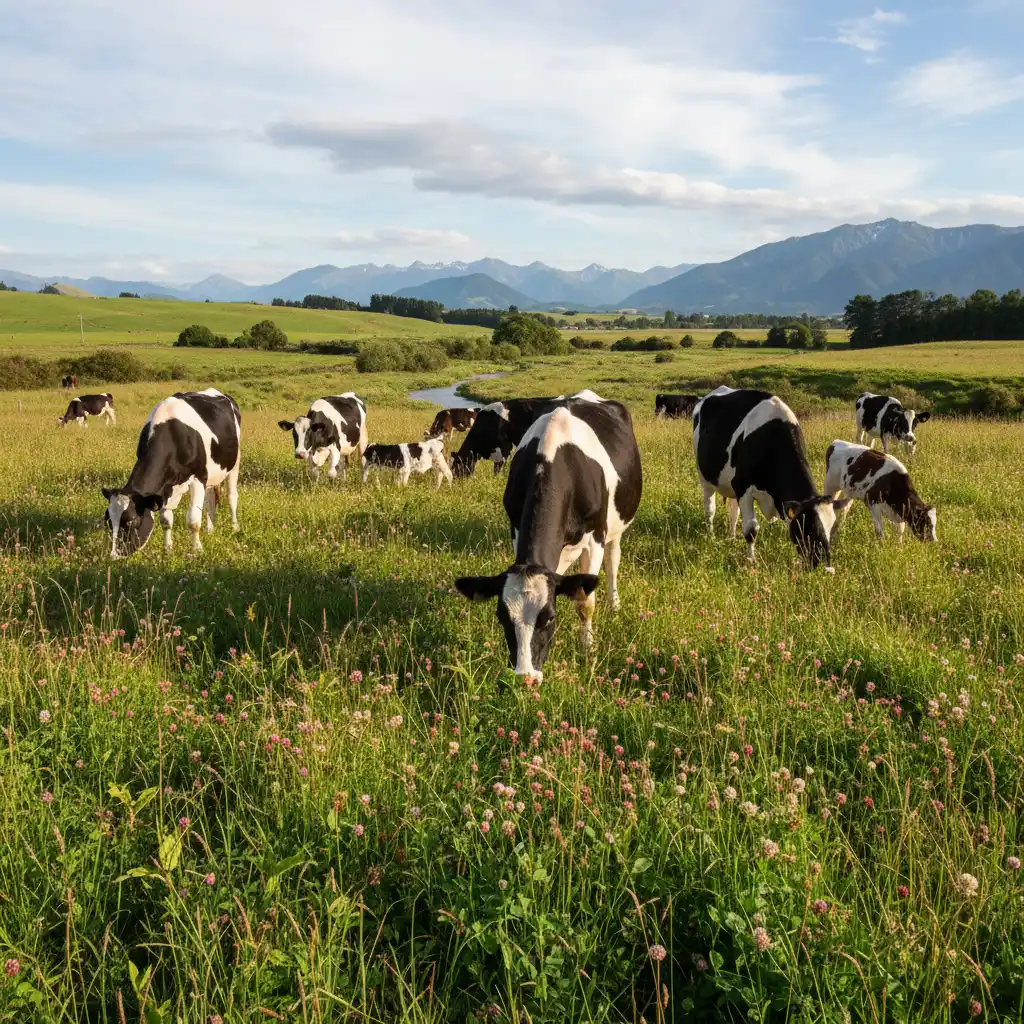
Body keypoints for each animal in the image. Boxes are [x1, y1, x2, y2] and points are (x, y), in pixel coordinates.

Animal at [101, 388, 240, 557]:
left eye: (131, 521)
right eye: (108, 521)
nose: (115, 555)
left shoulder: (198, 478)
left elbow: (193, 520)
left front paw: (197, 550)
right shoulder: (165, 487)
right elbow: (166, 520)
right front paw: (168, 549)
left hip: (235, 462)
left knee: (231, 496)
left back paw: (235, 527)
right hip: (211, 472)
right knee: (210, 499)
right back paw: (210, 529)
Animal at [693, 385, 849, 568]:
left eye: (831, 528)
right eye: (808, 527)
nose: (825, 565)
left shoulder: (740, 486)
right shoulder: (744, 488)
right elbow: (751, 529)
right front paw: (752, 561)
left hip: (731, 483)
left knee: (733, 511)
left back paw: (731, 537)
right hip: (704, 478)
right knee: (710, 509)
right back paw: (710, 536)